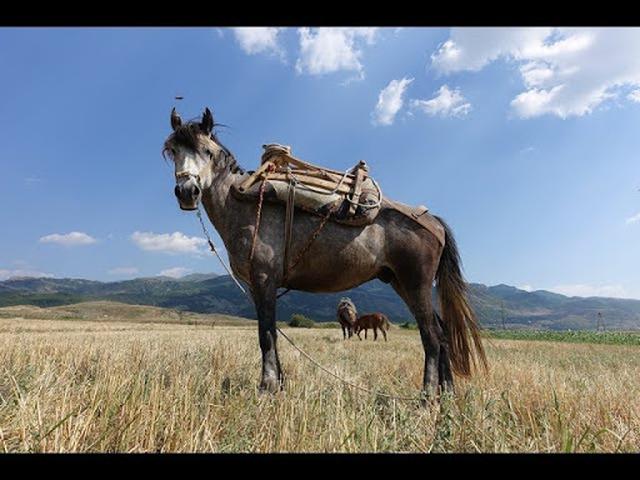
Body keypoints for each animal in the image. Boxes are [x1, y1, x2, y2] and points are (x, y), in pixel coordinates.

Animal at [162, 107, 487, 399]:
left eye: (207, 151)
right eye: (172, 150)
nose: (187, 191)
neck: (243, 204)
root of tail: (432, 221)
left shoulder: (264, 280)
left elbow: (265, 335)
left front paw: (266, 388)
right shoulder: (257, 287)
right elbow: (272, 333)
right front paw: (279, 384)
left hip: (415, 283)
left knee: (431, 337)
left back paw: (427, 396)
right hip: (400, 283)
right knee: (442, 335)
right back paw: (447, 394)